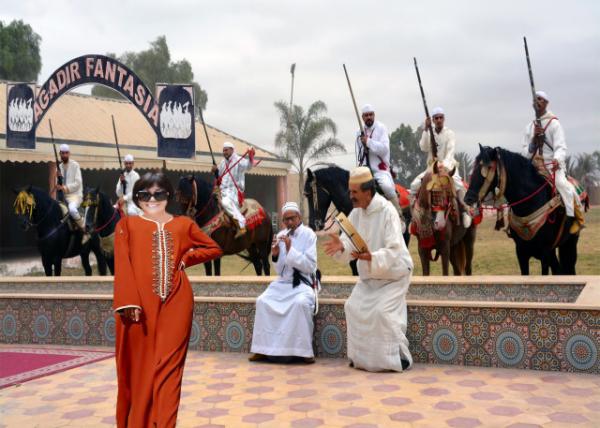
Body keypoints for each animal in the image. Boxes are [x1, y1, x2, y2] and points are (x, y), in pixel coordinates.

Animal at [466, 145, 580, 276]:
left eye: (488, 168)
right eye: (474, 167)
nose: (468, 198)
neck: (529, 204)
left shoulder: (545, 253)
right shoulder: (521, 253)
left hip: (570, 243)